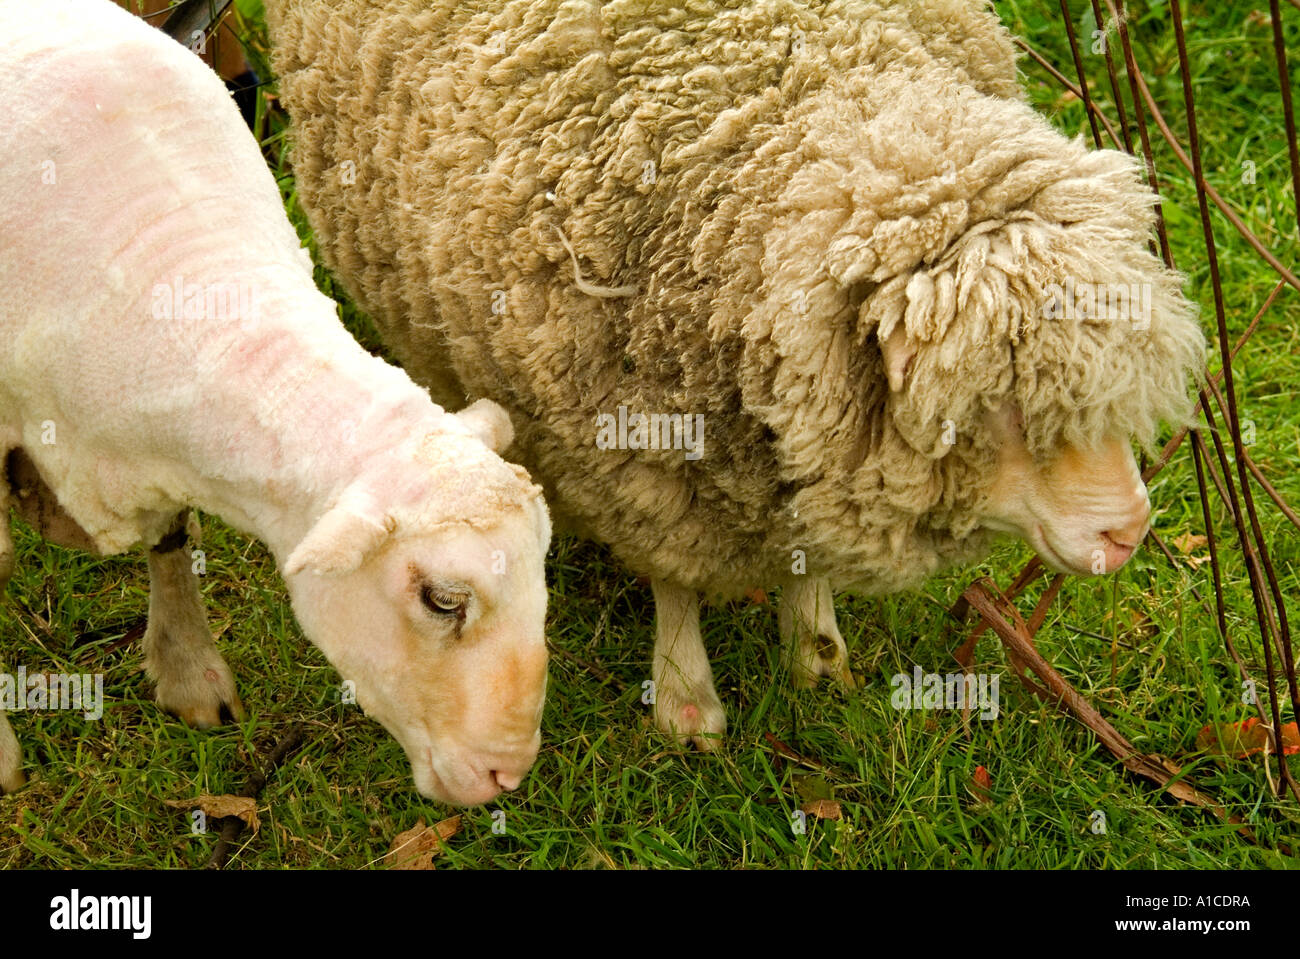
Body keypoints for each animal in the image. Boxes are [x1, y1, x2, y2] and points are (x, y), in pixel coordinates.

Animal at [266, 0, 1206, 748]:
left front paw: (817, 657)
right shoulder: (631, 457)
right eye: (996, 405)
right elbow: (677, 579)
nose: (1130, 533)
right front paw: (687, 701)